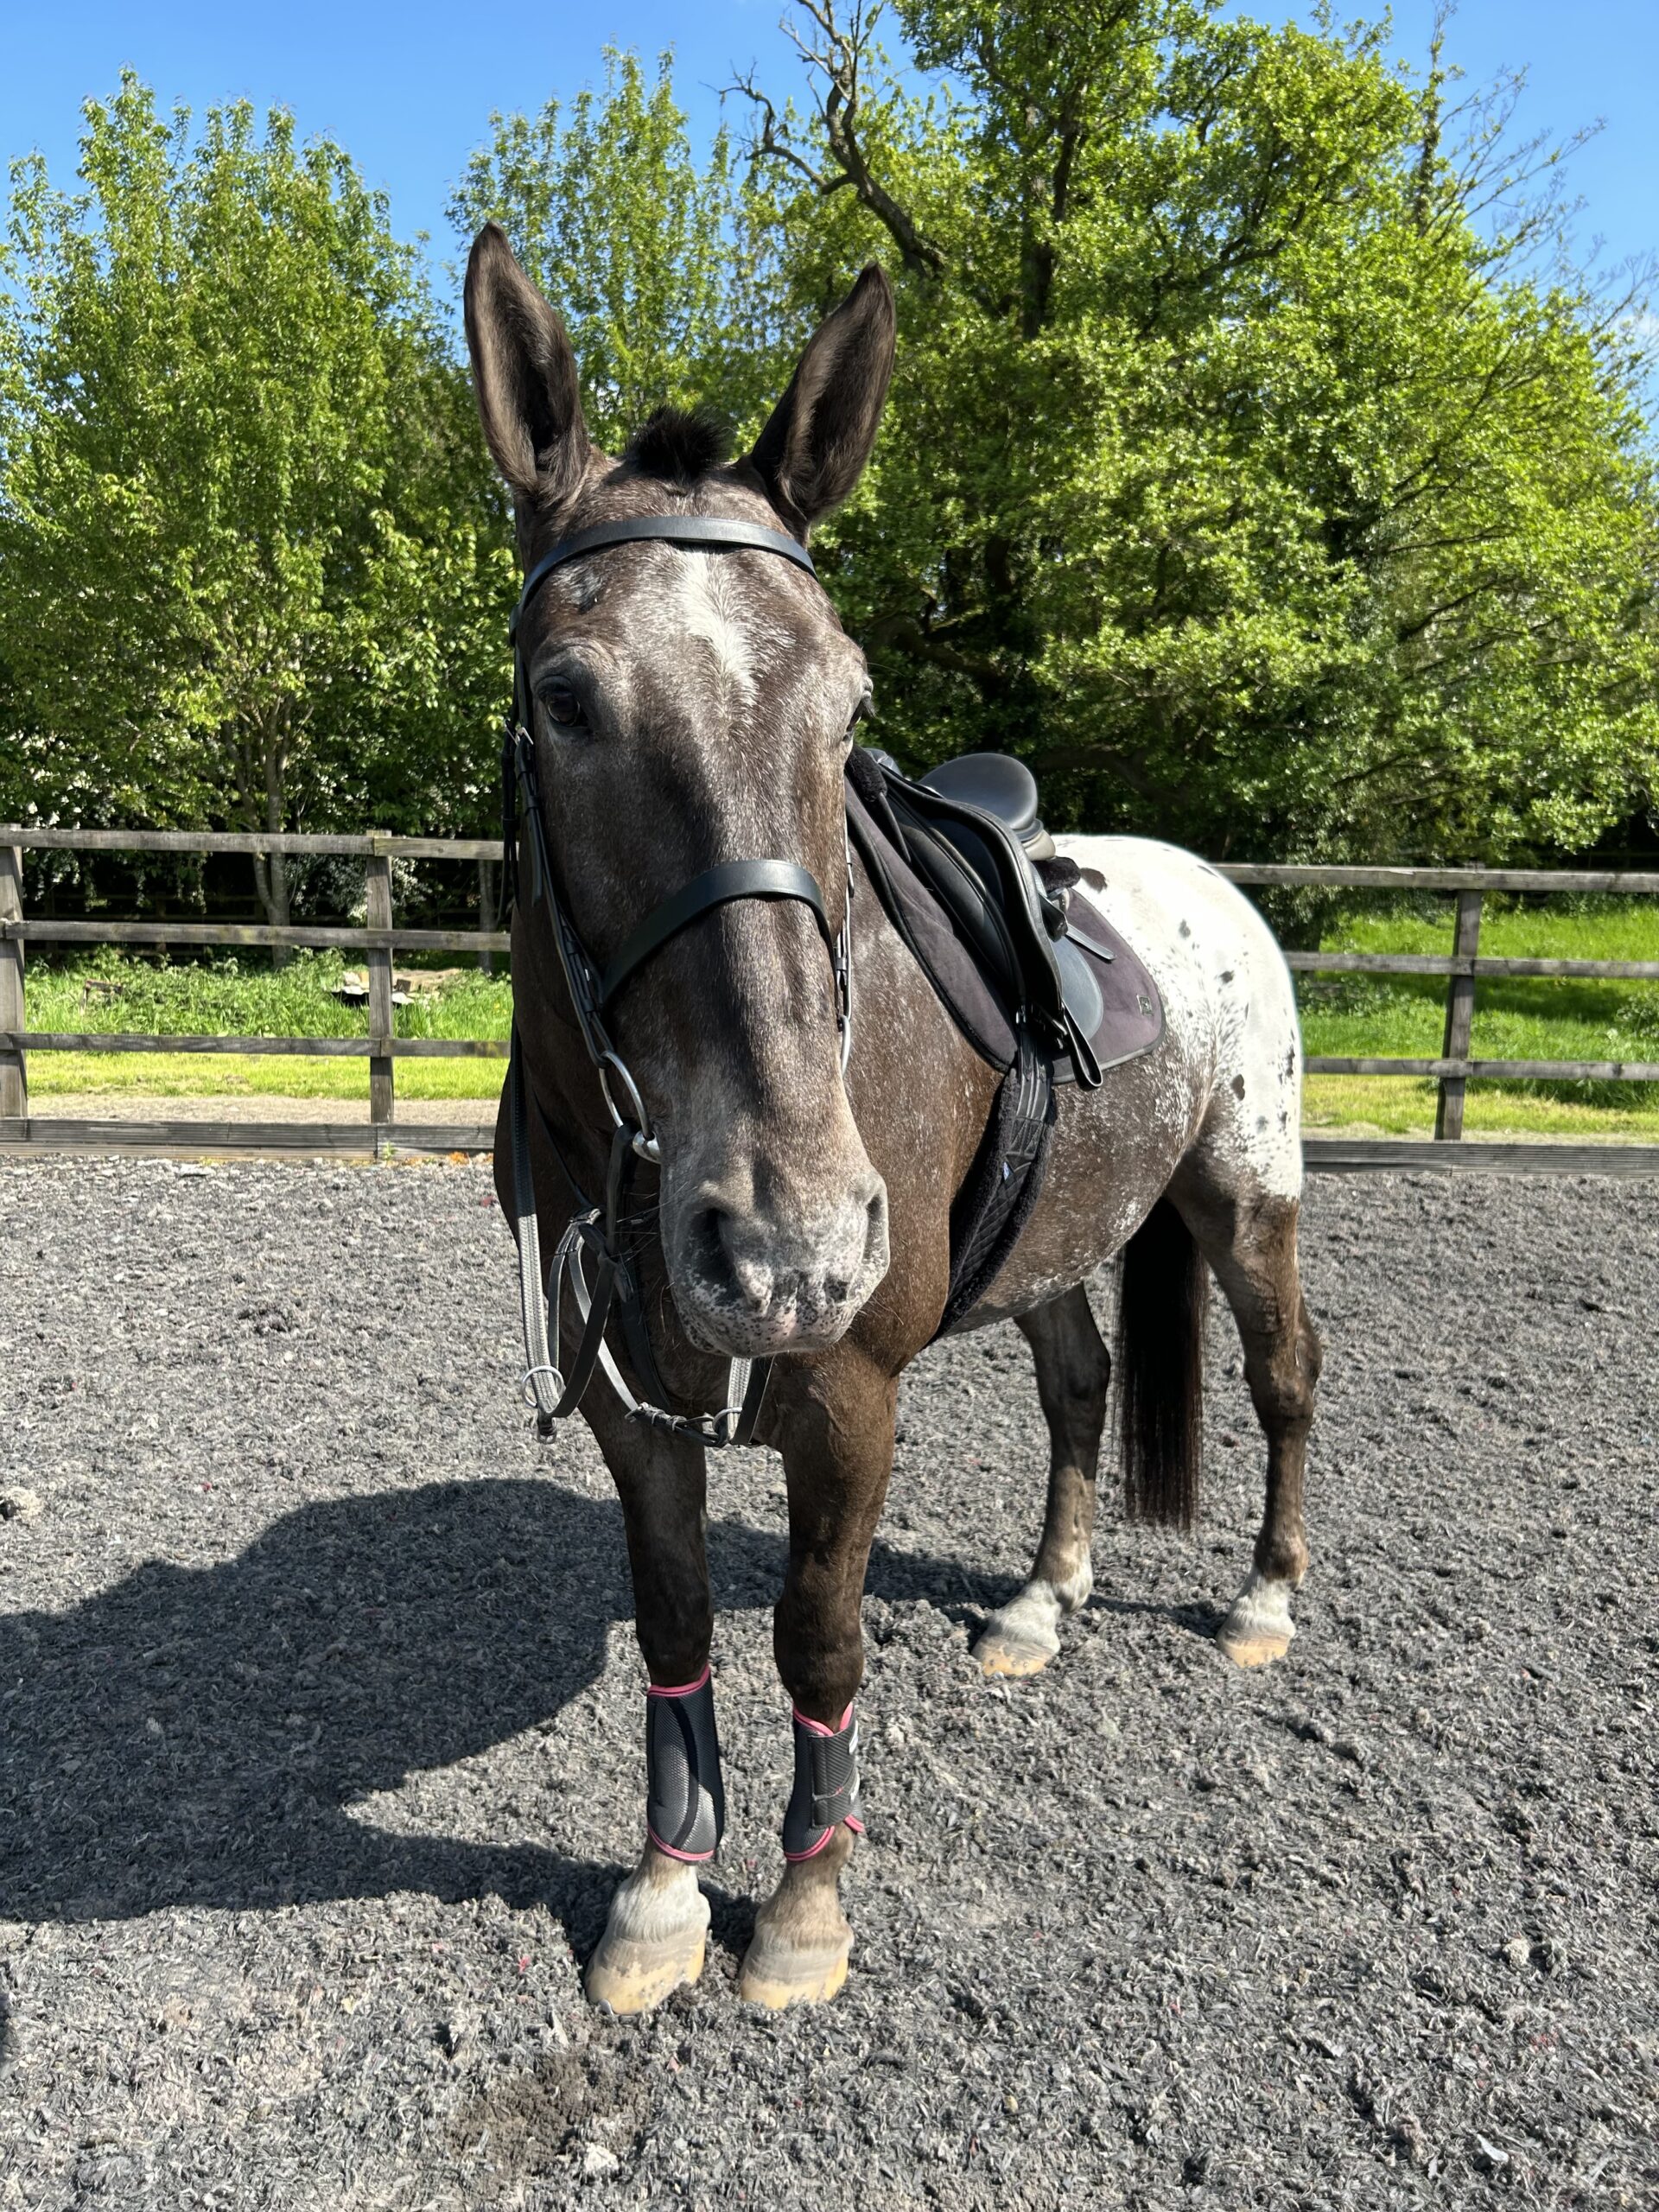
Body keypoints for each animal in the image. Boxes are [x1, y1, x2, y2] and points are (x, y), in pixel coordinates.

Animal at [464, 223, 1322, 2014]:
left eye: (849, 705)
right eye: (564, 698)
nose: (787, 1239)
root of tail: (1212, 888)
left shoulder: (850, 1398)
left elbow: (817, 1634)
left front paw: (801, 1907)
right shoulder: (632, 1405)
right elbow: (675, 1628)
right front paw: (664, 1892)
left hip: (1244, 1196)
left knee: (1284, 1378)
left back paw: (1266, 1600)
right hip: (1060, 1238)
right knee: (1081, 1384)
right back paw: (1044, 1603)